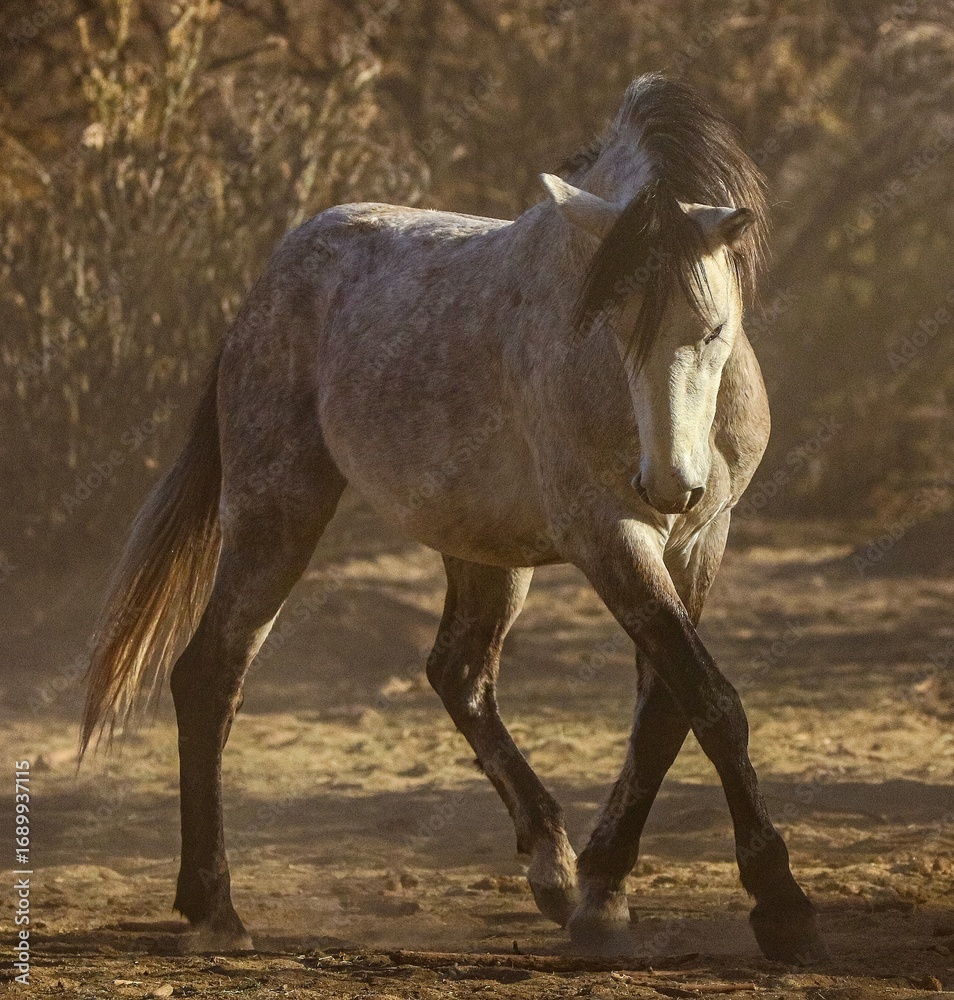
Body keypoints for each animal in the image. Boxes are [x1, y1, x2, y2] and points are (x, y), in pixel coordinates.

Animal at [81, 73, 827, 964]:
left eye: (713, 327)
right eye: (612, 324)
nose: (667, 485)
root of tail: (270, 282)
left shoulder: (700, 541)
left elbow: (667, 712)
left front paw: (604, 893)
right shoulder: (610, 535)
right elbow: (709, 700)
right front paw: (780, 904)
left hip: (481, 550)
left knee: (458, 673)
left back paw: (551, 867)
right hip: (278, 512)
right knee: (210, 672)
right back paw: (213, 905)